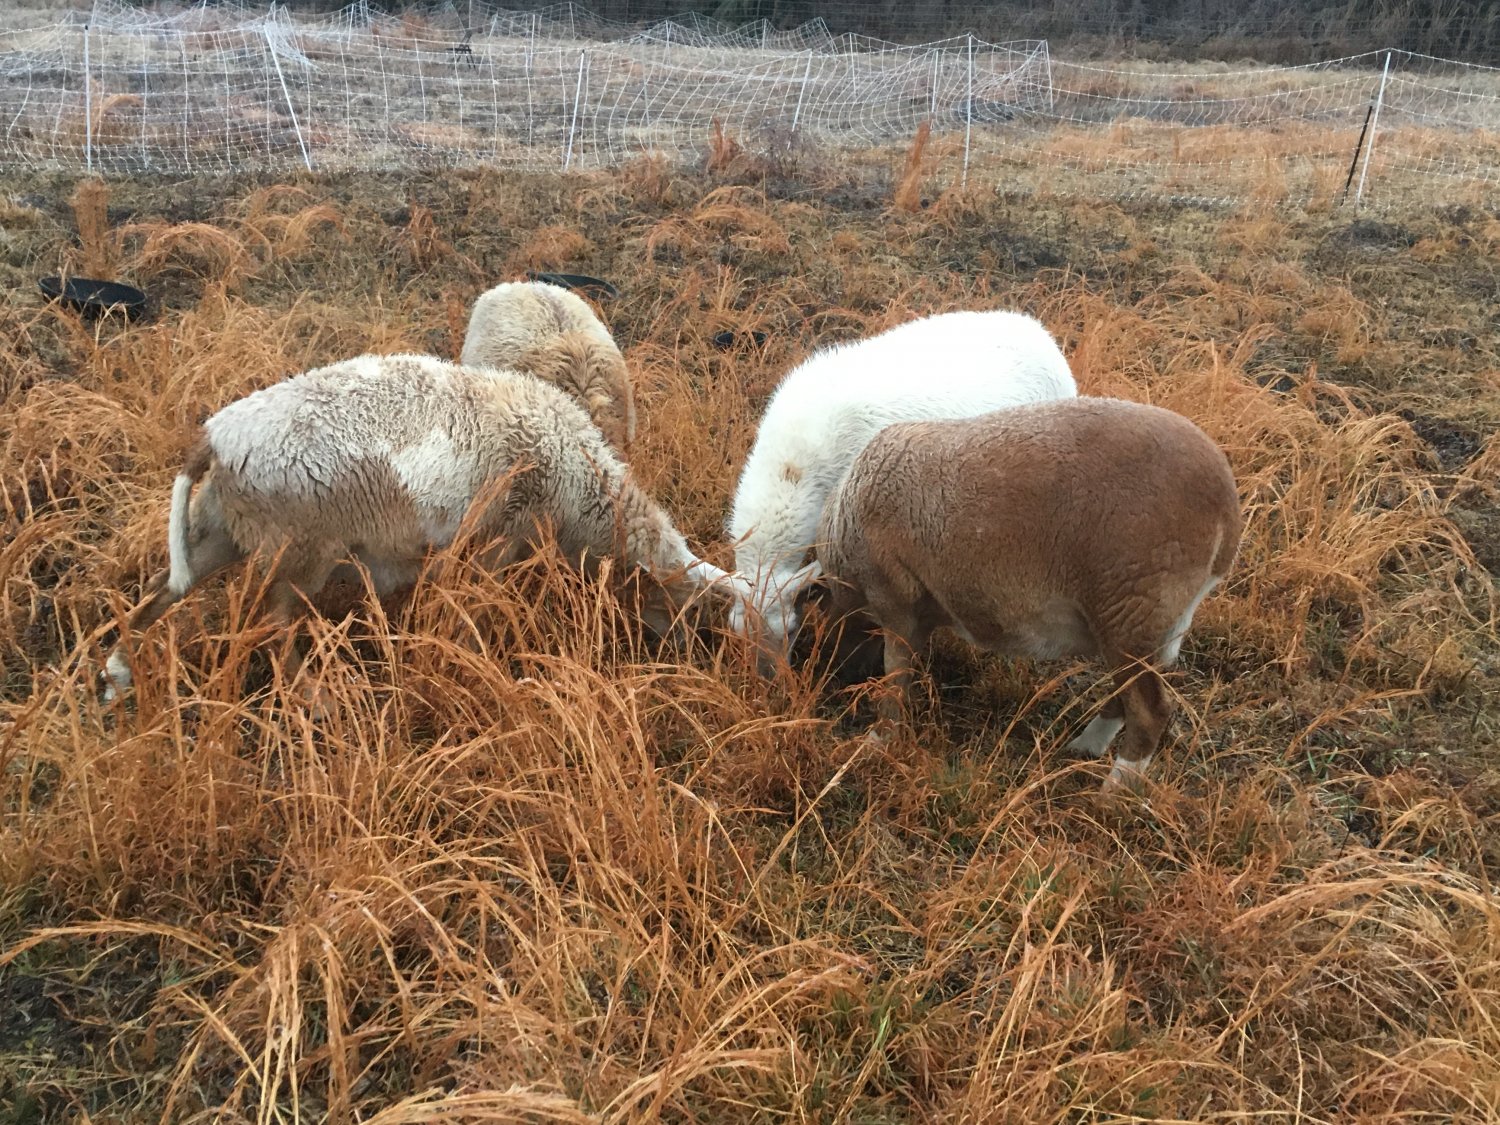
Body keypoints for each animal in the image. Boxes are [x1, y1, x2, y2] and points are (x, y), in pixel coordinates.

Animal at [96, 354, 741, 705]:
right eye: (681, 604)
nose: (681, 654)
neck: (582, 493)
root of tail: (217, 437)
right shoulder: (500, 536)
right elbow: (475, 603)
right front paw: (468, 659)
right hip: (298, 548)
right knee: (274, 632)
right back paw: (314, 700)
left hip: (221, 531)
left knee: (159, 593)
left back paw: (117, 675)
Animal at [816, 396, 1236, 792]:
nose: (837, 677)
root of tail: (1228, 511)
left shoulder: (895, 598)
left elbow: (896, 673)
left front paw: (878, 740)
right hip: (1145, 619)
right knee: (1125, 696)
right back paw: (1085, 746)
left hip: (1134, 601)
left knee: (1150, 713)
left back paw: (1112, 793)